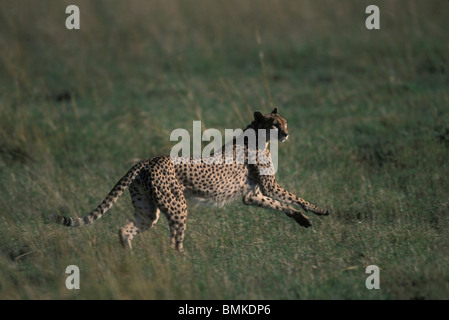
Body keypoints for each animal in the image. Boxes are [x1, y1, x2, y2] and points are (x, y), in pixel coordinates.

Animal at [49, 109, 328, 251]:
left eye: (285, 122)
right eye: (274, 124)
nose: (287, 133)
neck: (257, 136)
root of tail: (148, 160)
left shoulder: (253, 195)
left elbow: (282, 205)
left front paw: (302, 220)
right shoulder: (268, 186)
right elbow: (295, 198)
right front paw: (320, 210)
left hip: (148, 209)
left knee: (126, 228)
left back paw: (127, 259)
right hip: (177, 205)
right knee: (174, 241)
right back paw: (185, 265)